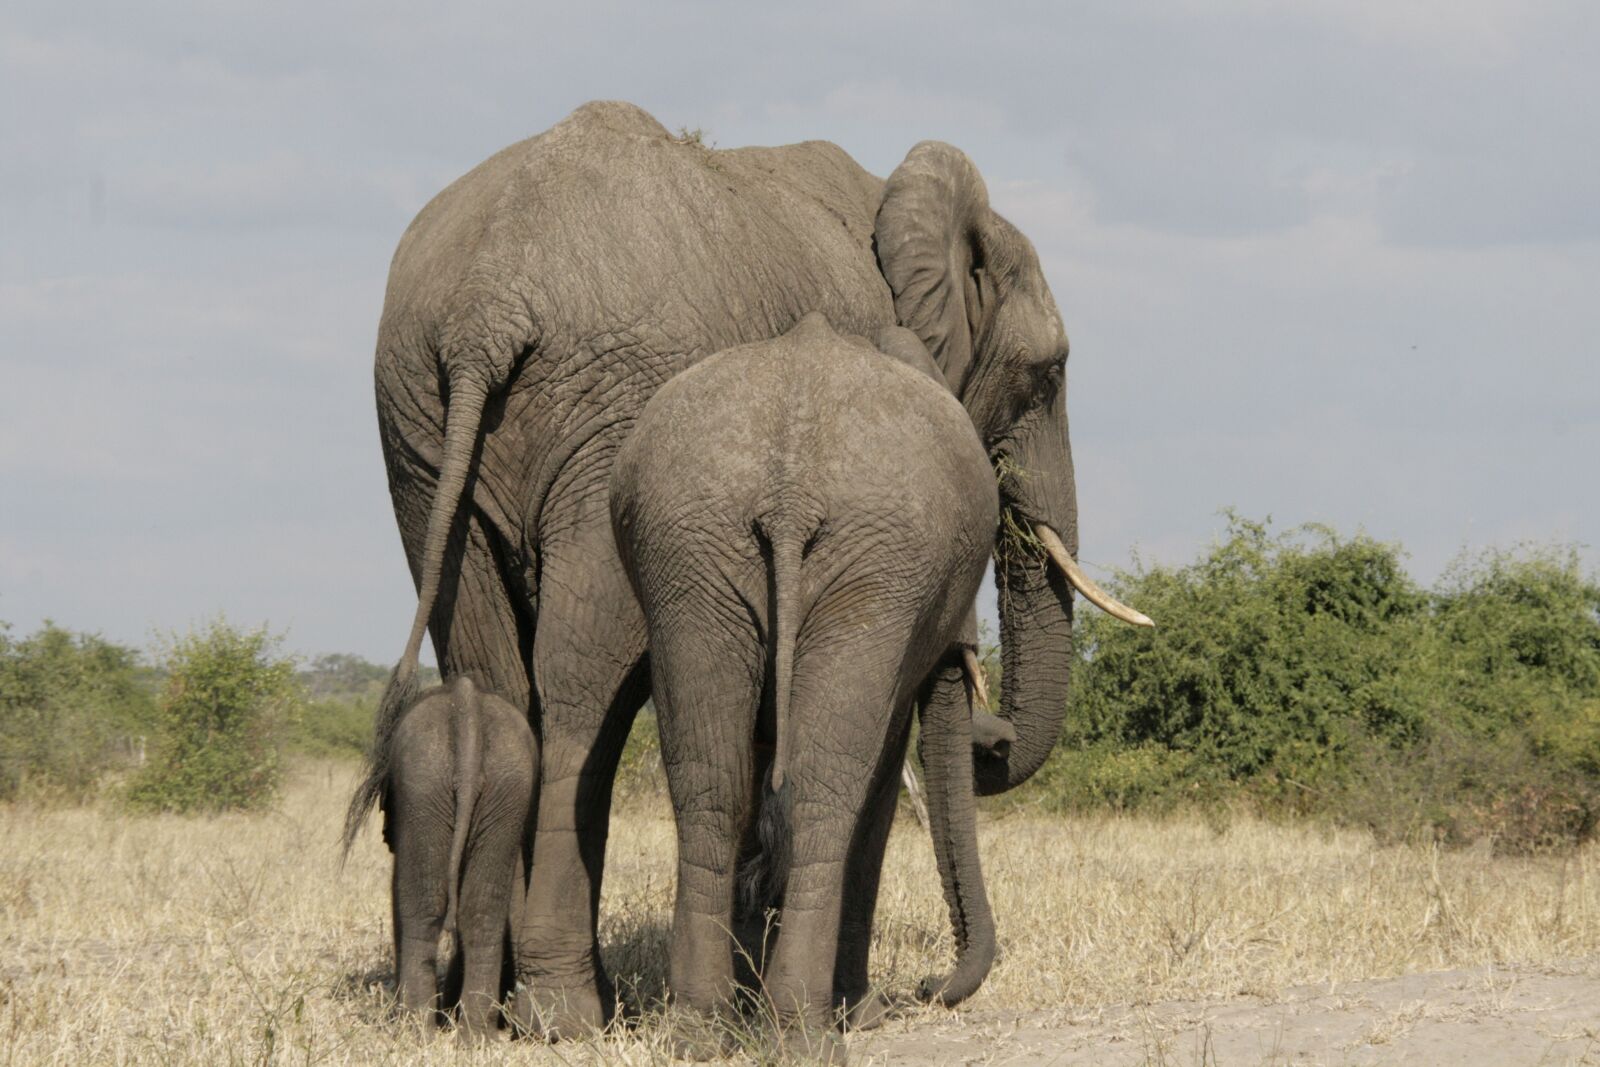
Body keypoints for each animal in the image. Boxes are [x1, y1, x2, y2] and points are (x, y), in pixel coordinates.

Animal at [384, 675, 537, 1038]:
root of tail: (466, 708)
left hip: (423, 783)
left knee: (422, 905)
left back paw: (416, 1031)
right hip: (506, 784)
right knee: (483, 909)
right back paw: (477, 1036)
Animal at [609, 314, 999, 1060]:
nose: (930, 987)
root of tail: (791, 488)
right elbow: (878, 778)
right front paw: (860, 1012)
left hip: (690, 548)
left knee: (710, 779)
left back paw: (700, 1032)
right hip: (871, 566)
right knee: (825, 792)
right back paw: (804, 1035)